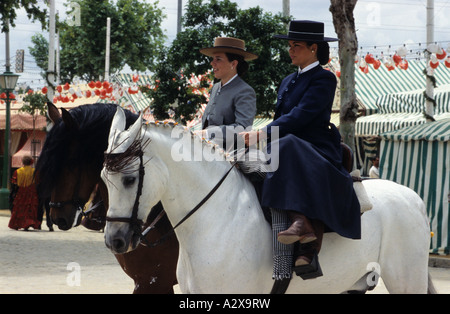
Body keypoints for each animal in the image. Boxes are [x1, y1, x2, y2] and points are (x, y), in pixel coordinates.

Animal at [103, 108, 436, 294]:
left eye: (129, 179)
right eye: (105, 180)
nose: (114, 240)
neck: (215, 220)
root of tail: (412, 197)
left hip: (407, 281)